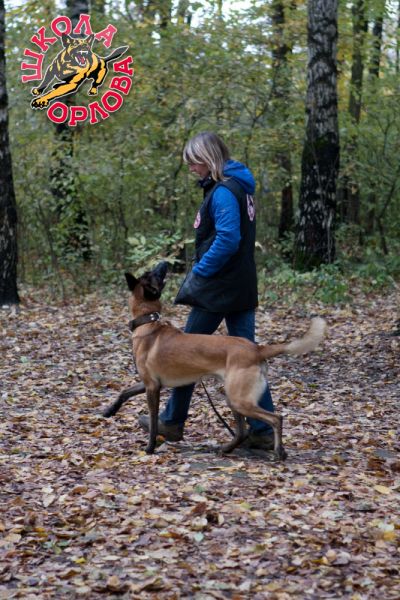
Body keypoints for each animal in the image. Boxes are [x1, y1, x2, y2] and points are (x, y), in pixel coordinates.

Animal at [105, 262, 326, 460]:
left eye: (153, 274)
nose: (165, 263)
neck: (148, 323)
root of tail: (256, 348)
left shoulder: (152, 387)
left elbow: (151, 422)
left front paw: (150, 448)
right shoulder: (149, 382)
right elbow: (124, 392)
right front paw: (109, 410)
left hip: (239, 399)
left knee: (276, 418)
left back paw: (278, 452)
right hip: (233, 398)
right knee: (242, 431)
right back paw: (227, 449)